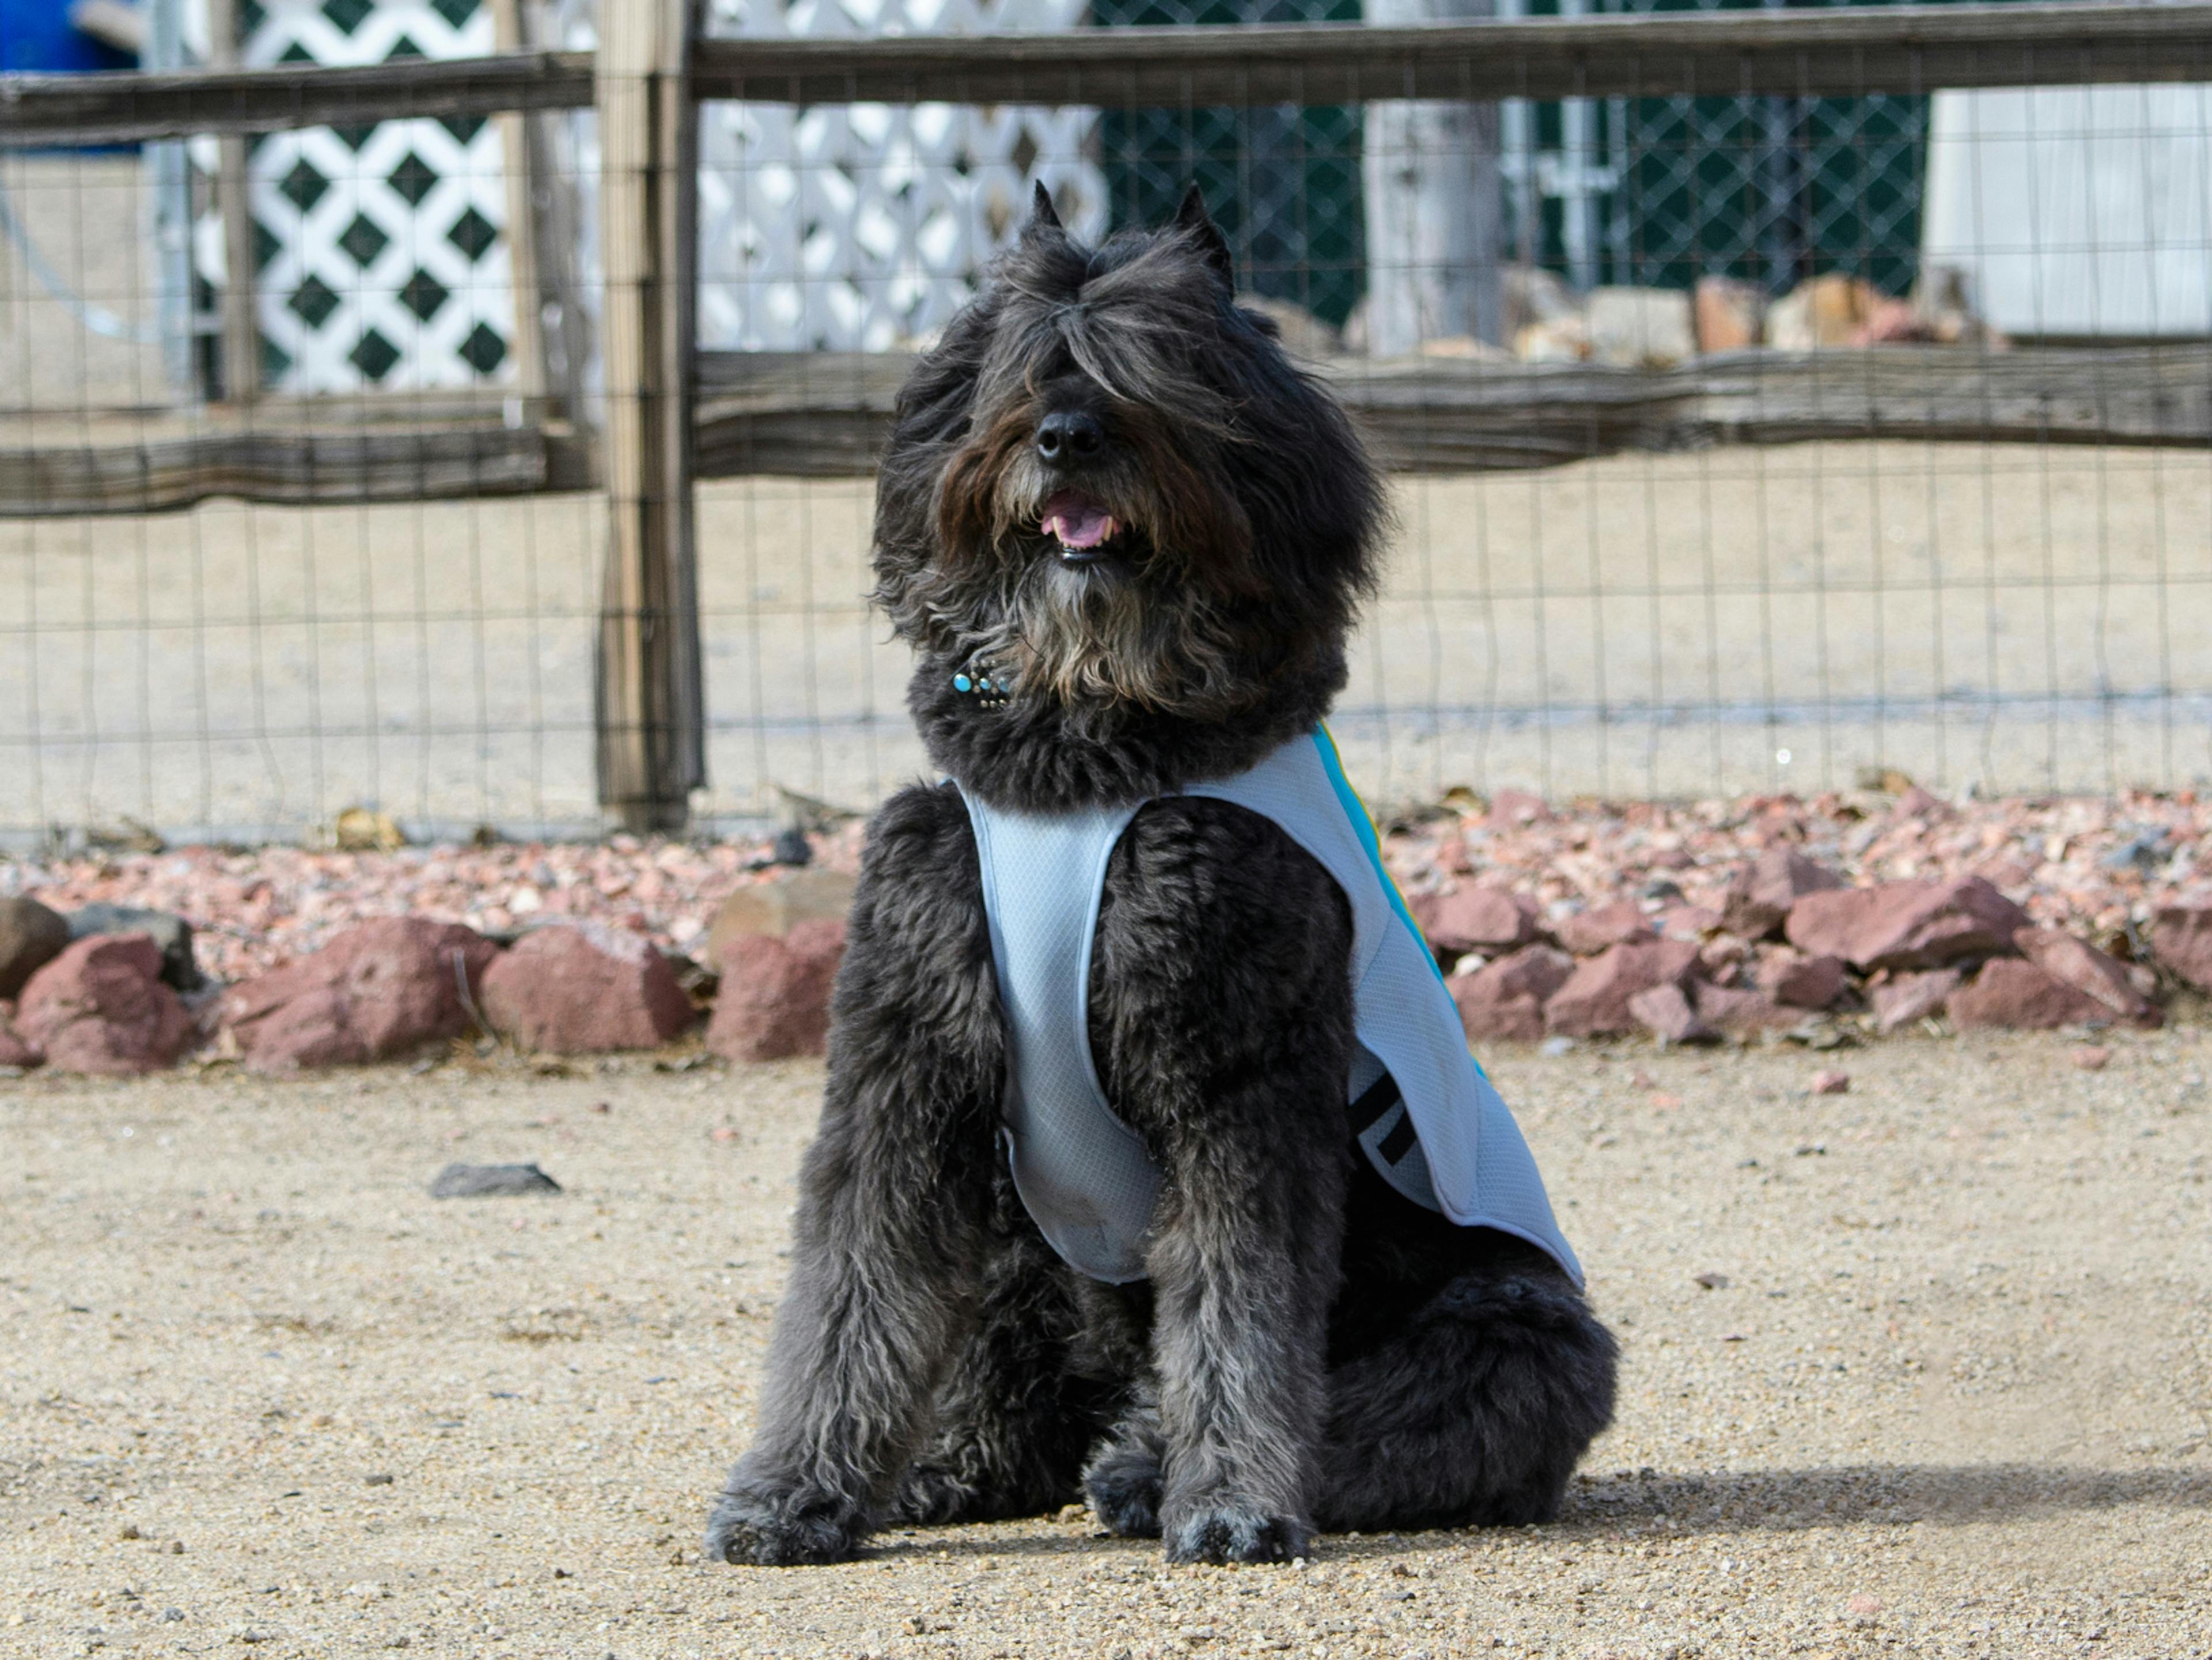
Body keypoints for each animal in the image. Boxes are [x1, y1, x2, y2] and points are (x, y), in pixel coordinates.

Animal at [699, 188, 1619, 1567]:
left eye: (1159, 364)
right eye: (1025, 362)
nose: (1068, 437)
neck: (1081, 757)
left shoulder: (1236, 1087)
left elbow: (1244, 1307)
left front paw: (1231, 1498)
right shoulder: (907, 1068)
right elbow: (856, 1290)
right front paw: (797, 1489)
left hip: (1519, 1327)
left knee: (1392, 1418)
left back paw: (1145, 1469)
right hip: (1025, 1236)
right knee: (1006, 1374)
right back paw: (955, 1464)